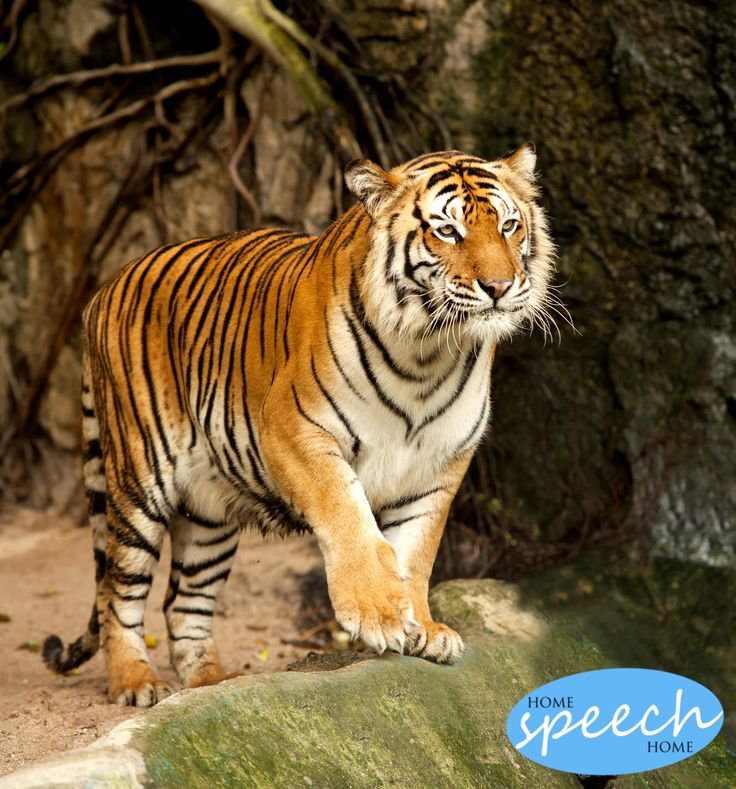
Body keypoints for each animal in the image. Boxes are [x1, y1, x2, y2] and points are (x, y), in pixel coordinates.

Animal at [43, 145, 556, 704]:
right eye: (447, 231)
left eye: (508, 225)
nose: (500, 287)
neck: (428, 354)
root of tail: (103, 289)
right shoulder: (295, 432)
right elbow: (348, 516)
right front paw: (378, 615)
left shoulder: (439, 464)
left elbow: (416, 552)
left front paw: (423, 628)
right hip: (140, 482)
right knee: (117, 591)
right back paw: (137, 682)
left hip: (209, 512)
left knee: (183, 602)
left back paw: (211, 684)